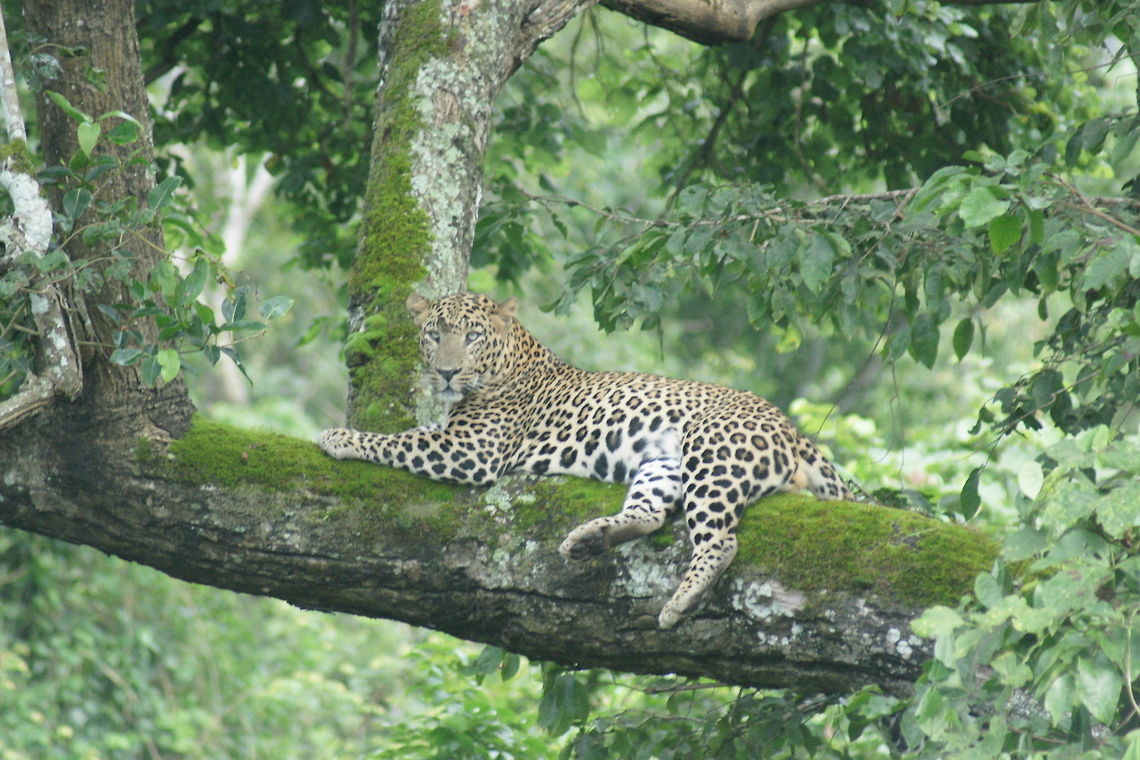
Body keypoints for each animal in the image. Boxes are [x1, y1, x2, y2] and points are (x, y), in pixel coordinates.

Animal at [318, 291, 854, 629]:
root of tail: (790, 426)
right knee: (651, 513)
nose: (447, 372)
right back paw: (590, 538)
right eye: (434, 335)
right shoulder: (457, 437)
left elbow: (400, 440)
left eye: (471, 336)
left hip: (712, 451)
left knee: (720, 541)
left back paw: (680, 601)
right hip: (662, 464)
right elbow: (415, 432)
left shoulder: (472, 450)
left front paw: (337, 435)